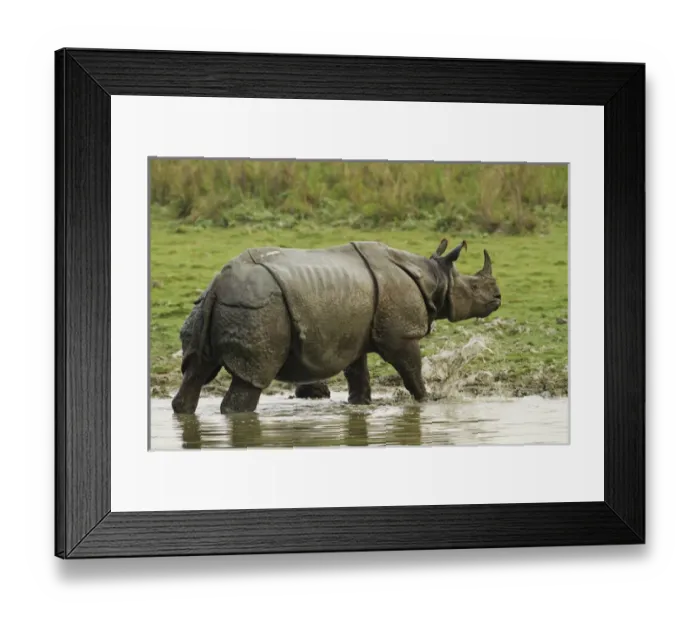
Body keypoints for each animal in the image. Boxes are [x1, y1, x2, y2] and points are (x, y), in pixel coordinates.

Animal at [171, 238, 502, 414]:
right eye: (474, 287)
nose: (498, 298)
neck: (434, 275)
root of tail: (218, 286)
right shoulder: (401, 335)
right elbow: (411, 369)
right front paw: (427, 401)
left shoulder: (354, 334)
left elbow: (358, 372)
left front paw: (359, 405)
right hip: (257, 310)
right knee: (251, 379)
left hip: (209, 307)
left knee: (196, 370)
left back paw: (183, 409)